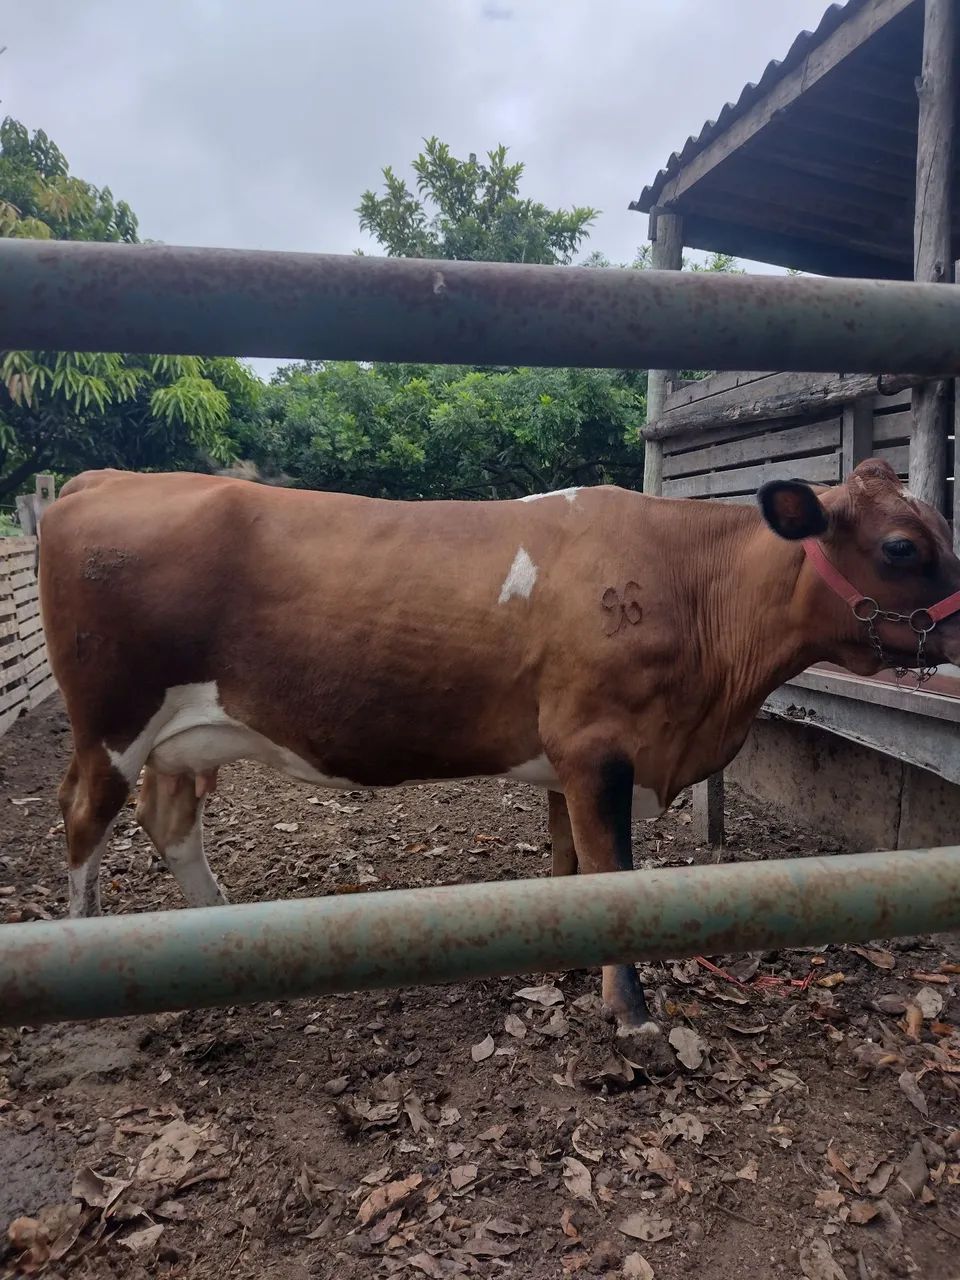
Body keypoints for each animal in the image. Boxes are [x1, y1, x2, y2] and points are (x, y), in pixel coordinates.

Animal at [38, 460, 960, 1068]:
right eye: (902, 547)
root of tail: (103, 479)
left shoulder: (566, 761)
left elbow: (566, 866)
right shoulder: (597, 747)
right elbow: (611, 875)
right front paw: (630, 1013)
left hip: (182, 738)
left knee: (169, 820)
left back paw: (216, 936)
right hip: (111, 725)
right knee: (84, 819)